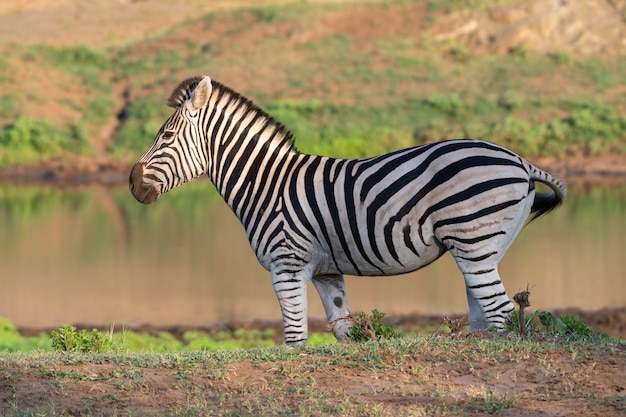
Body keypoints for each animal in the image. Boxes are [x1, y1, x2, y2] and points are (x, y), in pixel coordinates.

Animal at [128, 75, 564, 344]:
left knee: (500, 310)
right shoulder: (326, 270)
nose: (131, 182)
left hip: (473, 240)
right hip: (482, 248)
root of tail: (520, 161)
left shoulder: (286, 266)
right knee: (485, 310)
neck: (266, 185)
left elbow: (295, 339)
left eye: (166, 135)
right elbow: (343, 330)